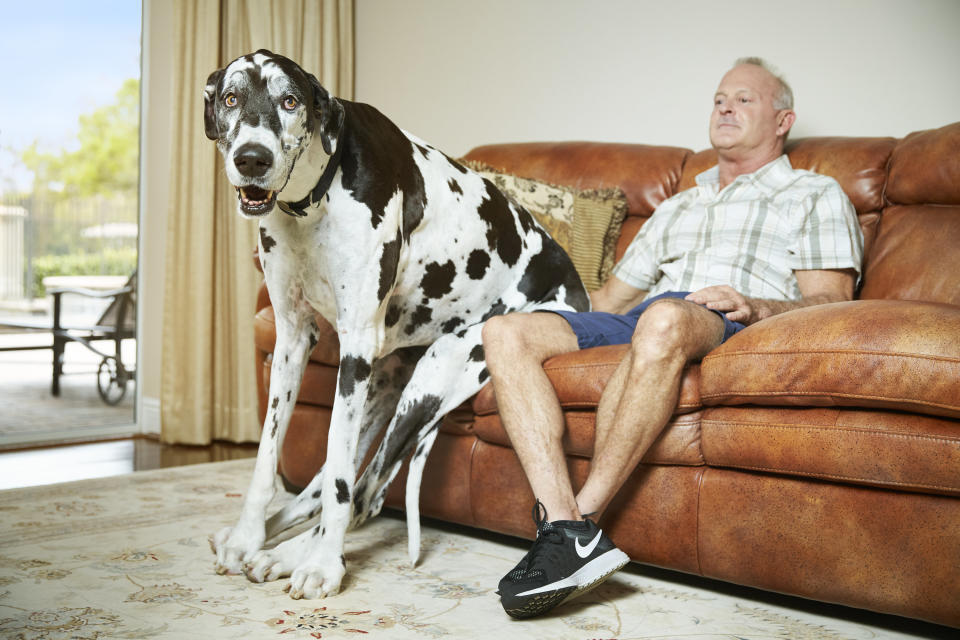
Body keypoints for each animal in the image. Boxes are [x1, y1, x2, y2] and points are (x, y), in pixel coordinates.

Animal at [206, 51, 588, 600]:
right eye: (232, 97)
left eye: (290, 100)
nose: (251, 158)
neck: (314, 201)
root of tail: (578, 293)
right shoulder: (293, 341)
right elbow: (267, 458)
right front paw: (244, 538)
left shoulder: (354, 348)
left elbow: (342, 484)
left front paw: (323, 568)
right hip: (382, 384)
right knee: (335, 485)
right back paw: (272, 545)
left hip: (435, 371)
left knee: (360, 491)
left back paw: (294, 556)